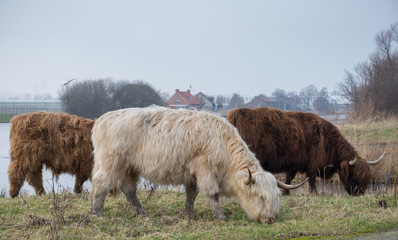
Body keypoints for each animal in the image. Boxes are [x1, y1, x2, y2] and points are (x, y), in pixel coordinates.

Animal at [89, 106, 304, 222]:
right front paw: (220, 217)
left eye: (277, 196)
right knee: (101, 184)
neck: (222, 142)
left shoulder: (192, 173)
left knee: (129, 190)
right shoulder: (205, 170)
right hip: (112, 163)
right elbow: (211, 194)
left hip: (129, 168)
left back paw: (142, 213)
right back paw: (97, 213)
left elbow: (191, 194)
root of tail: (102, 119)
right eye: (260, 196)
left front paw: (188, 213)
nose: (271, 219)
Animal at [227, 107, 386, 195]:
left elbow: (289, 178)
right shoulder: (313, 163)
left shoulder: (293, 163)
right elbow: (312, 178)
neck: (328, 141)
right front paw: (314, 193)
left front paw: (286, 192)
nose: (359, 193)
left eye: (367, 179)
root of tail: (235, 115)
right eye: (355, 177)